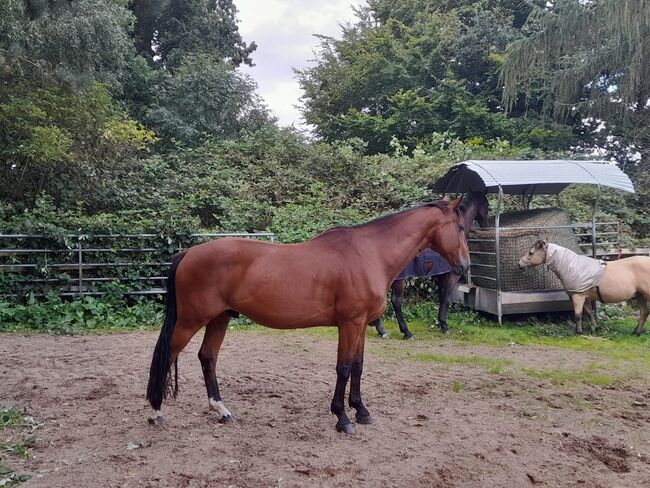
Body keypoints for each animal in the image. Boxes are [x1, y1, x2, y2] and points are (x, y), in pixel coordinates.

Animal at [144, 198, 468, 434]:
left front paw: (361, 411)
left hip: (220, 318)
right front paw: (342, 418)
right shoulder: (350, 324)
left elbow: (359, 366)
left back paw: (222, 411)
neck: (369, 253)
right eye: (462, 227)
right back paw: (156, 411)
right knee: (167, 354)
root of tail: (188, 253)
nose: (464, 266)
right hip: (191, 321)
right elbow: (344, 368)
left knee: (207, 357)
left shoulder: (362, 325)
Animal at [370, 192, 486, 340]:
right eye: (487, 205)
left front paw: (440, 322)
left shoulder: (441, 276)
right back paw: (405, 332)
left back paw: (381, 330)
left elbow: (441, 296)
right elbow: (446, 297)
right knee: (396, 301)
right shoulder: (452, 275)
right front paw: (444, 326)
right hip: (399, 280)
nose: (486, 224)